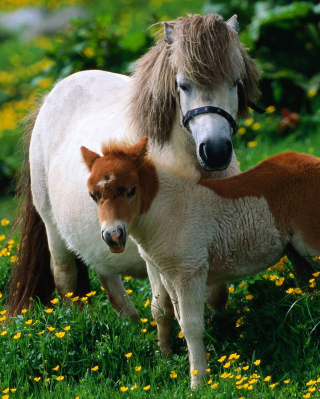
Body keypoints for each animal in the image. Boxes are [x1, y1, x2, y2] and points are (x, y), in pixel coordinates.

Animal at [8, 14, 262, 318]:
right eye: (183, 85)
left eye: (235, 82)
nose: (215, 151)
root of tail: (50, 97)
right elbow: (167, 305)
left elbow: (217, 294)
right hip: (53, 229)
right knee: (66, 279)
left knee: (106, 274)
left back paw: (131, 321)